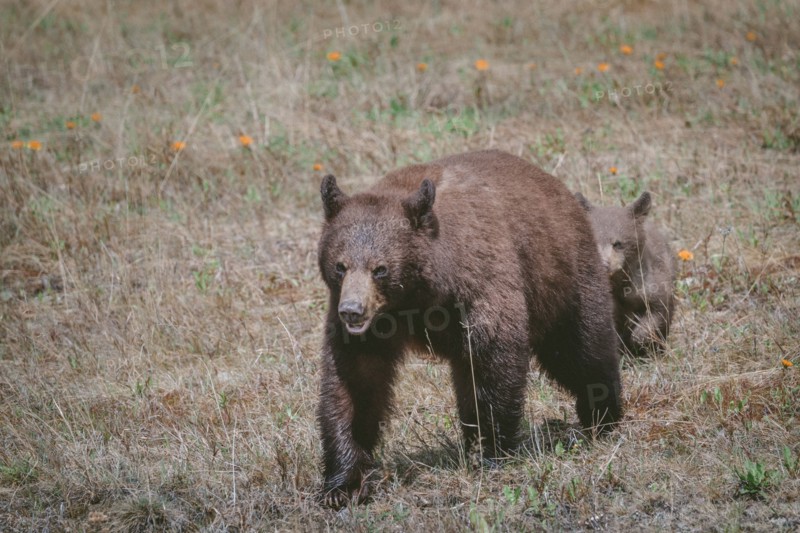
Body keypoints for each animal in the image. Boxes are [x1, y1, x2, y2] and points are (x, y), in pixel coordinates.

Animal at [317, 150, 623, 507]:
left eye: (380, 269)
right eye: (340, 266)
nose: (352, 311)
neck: (420, 294)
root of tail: (559, 188)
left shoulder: (481, 284)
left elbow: (494, 361)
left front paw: (493, 450)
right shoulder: (373, 328)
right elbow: (355, 382)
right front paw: (343, 483)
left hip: (562, 276)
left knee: (581, 347)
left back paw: (602, 414)